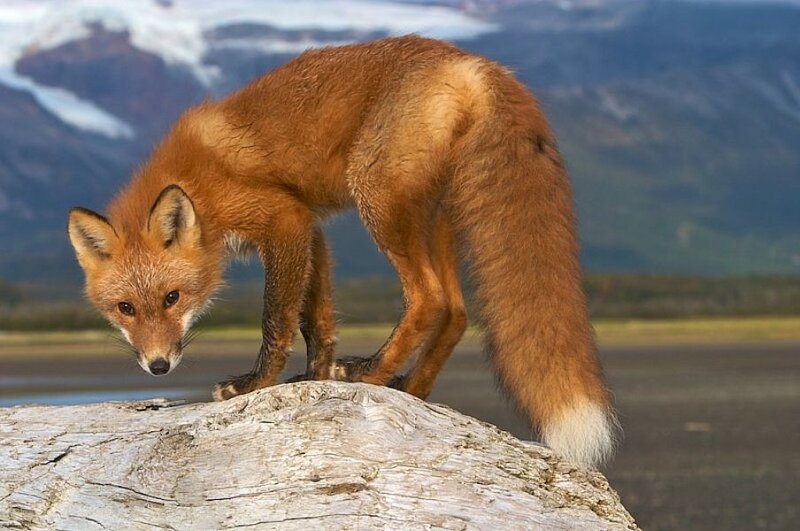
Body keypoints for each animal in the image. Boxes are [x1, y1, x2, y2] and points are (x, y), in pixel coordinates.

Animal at [67, 36, 617, 467]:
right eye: (125, 308)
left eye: (172, 298)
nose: (158, 367)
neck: (198, 183)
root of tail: (475, 62)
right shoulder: (310, 228)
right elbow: (317, 320)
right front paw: (312, 379)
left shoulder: (284, 219)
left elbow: (276, 320)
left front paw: (255, 384)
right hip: (430, 216)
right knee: (459, 312)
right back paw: (409, 390)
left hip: (377, 198)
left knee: (430, 298)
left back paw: (370, 373)